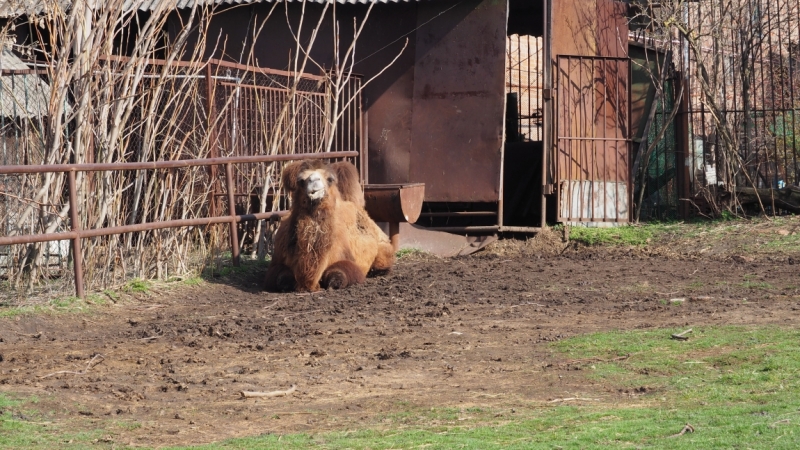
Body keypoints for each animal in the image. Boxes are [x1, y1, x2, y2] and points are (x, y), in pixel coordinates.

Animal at [264, 159, 396, 292]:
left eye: (329, 179)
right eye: (300, 180)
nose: (314, 181)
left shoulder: (348, 259)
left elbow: (340, 273)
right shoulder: (277, 262)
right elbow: (281, 277)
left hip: (383, 247)